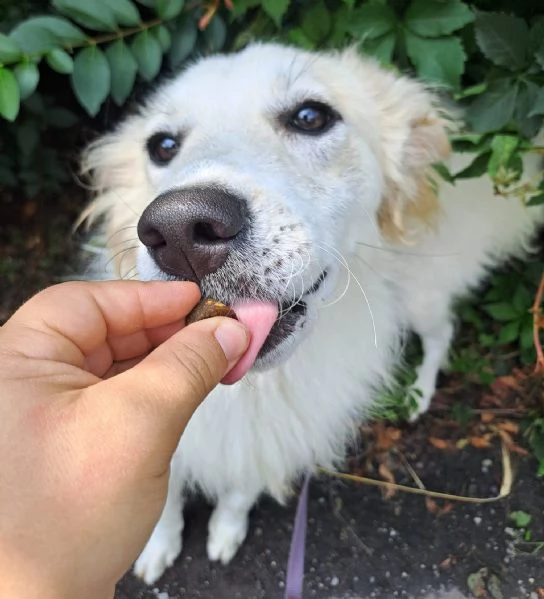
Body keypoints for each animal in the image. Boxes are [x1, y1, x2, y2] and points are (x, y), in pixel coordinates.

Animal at [81, 43, 544, 584]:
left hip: (421, 298)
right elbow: (167, 501)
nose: (178, 231)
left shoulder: (272, 439)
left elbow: (238, 492)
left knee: (441, 332)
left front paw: (225, 532)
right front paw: (157, 547)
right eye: (163, 146)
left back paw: (418, 392)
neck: (251, 391)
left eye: (310, 117)